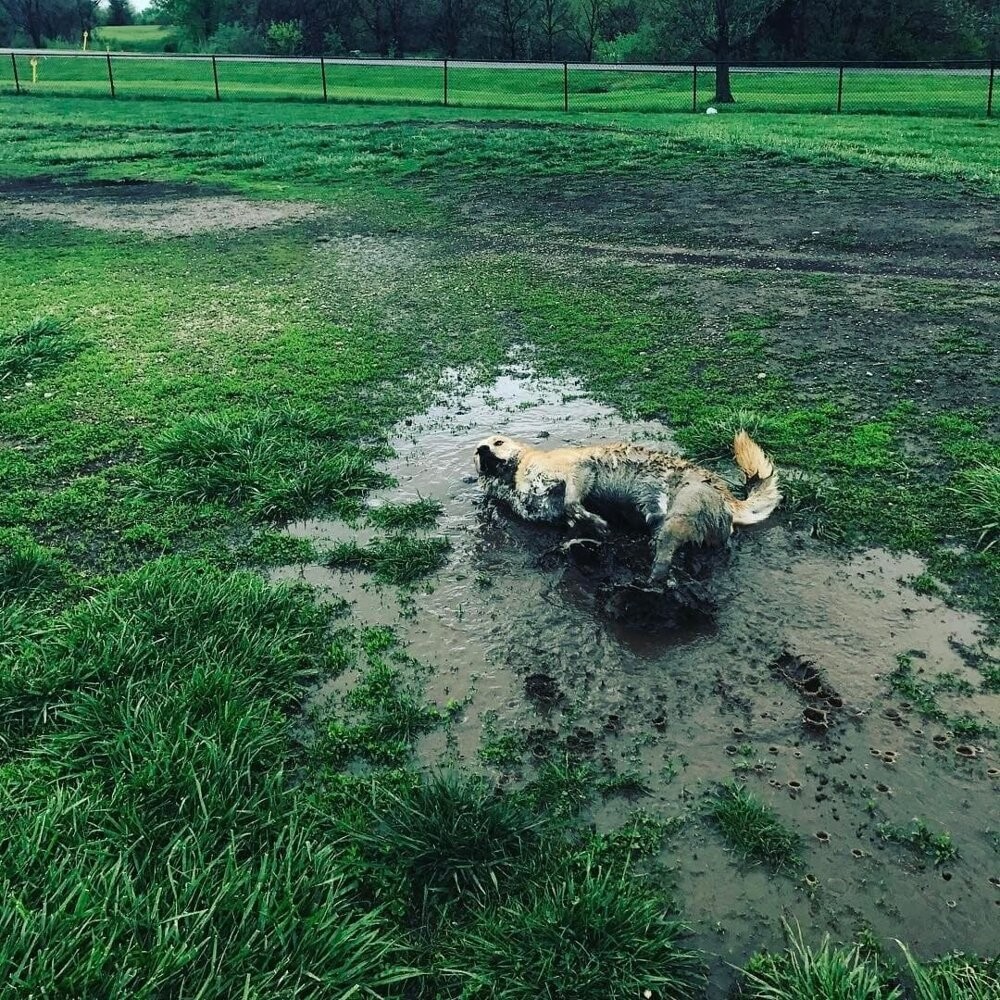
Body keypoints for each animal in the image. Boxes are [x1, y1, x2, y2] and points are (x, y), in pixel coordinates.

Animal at [474, 432, 780, 584]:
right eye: (477, 449)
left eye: (498, 442)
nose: (481, 450)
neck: (512, 477)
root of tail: (729, 498)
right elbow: (572, 519)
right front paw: (584, 536)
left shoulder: (578, 470)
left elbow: (573, 504)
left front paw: (598, 524)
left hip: (683, 508)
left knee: (666, 554)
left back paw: (651, 581)